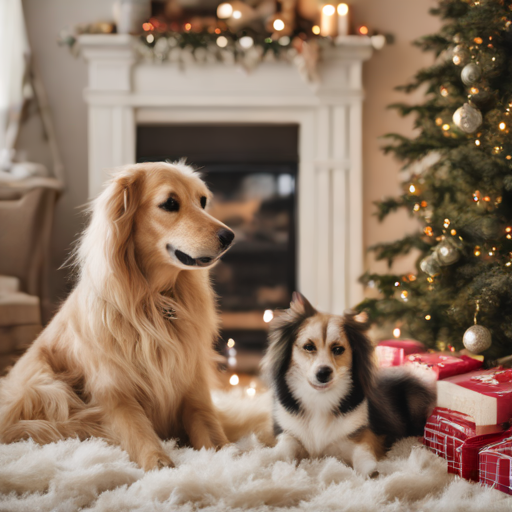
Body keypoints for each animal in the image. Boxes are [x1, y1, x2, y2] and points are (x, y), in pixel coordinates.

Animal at [0, 162, 236, 470]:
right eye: (170, 203)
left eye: (203, 201)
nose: (230, 236)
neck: (153, 301)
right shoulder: (114, 394)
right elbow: (138, 431)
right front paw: (160, 463)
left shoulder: (194, 391)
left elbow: (213, 435)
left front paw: (228, 459)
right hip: (46, 387)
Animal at [264, 294, 436, 478]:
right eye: (309, 347)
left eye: (338, 349)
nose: (323, 373)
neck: (320, 398)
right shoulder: (288, 432)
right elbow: (285, 447)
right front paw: (273, 463)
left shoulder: (363, 435)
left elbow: (363, 452)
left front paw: (371, 471)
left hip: (415, 399)